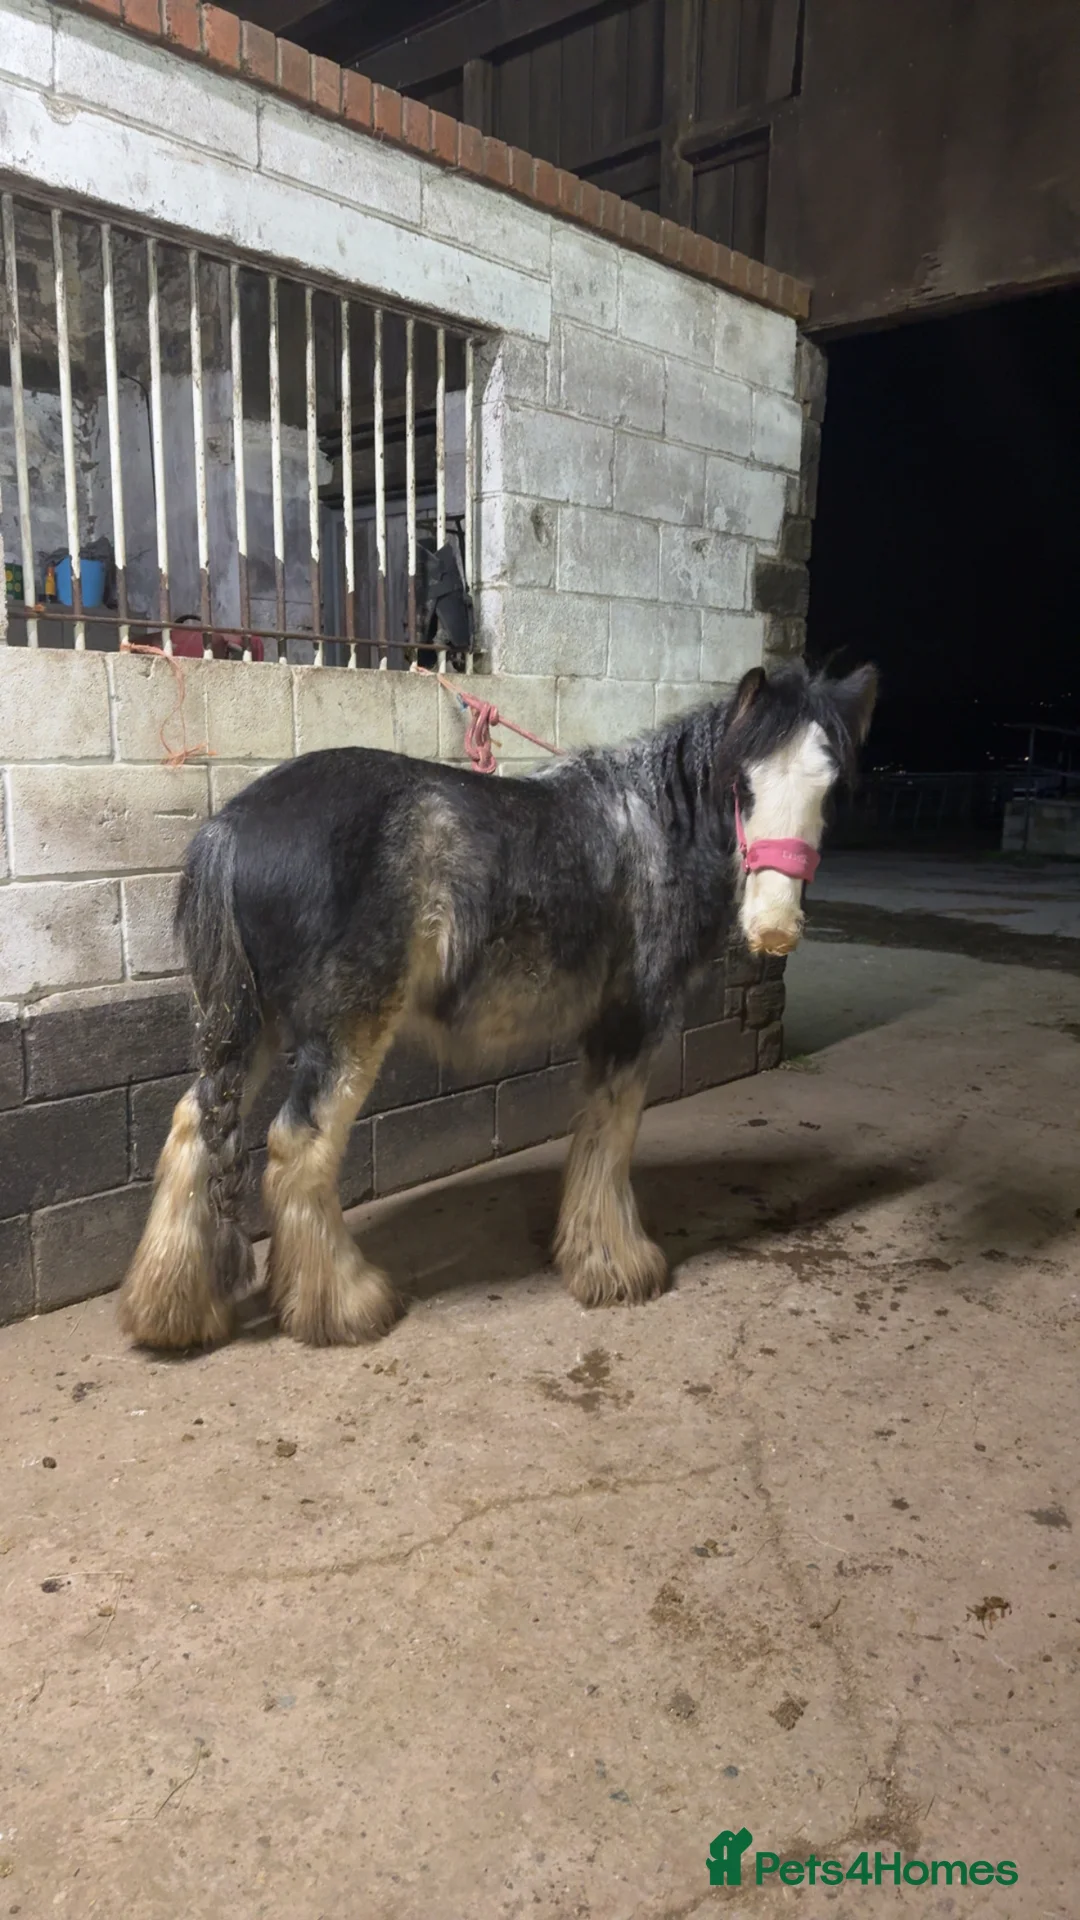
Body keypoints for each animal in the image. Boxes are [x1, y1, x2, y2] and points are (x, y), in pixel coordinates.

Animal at [117, 659, 877, 1351]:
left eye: (828, 788)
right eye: (741, 785)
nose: (775, 930)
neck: (654, 826)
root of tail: (232, 827)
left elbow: (595, 1133)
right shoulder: (631, 1023)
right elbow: (612, 1136)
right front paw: (616, 1266)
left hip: (251, 1027)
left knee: (195, 1126)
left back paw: (173, 1311)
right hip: (343, 1033)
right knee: (298, 1145)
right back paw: (346, 1306)